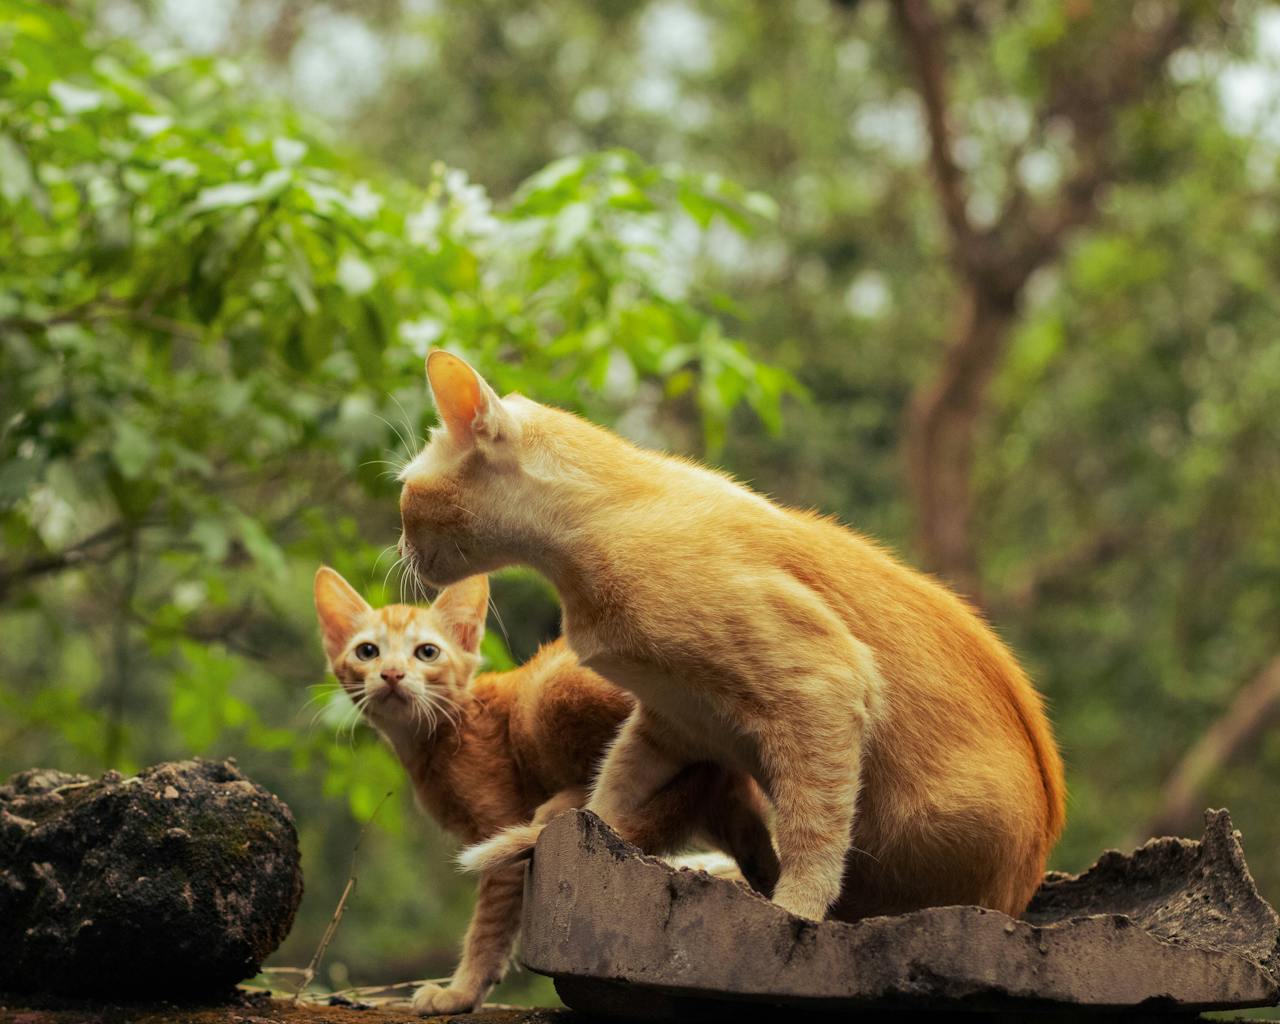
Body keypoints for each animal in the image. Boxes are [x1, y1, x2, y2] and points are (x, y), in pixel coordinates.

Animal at [312, 568, 778, 1013]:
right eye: (367, 651)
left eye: (427, 652)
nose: (391, 674)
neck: (441, 732)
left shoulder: (498, 831)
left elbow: (489, 927)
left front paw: (461, 993)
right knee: (756, 841)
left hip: (548, 689)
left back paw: (565, 803)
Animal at [394, 350, 1064, 921]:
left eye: (401, 488)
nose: (399, 547)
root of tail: (1022, 890)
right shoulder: (673, 721)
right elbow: (611, 790)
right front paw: (559, 831)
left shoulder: (821, 684)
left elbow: (813, 826)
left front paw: (797, 909)